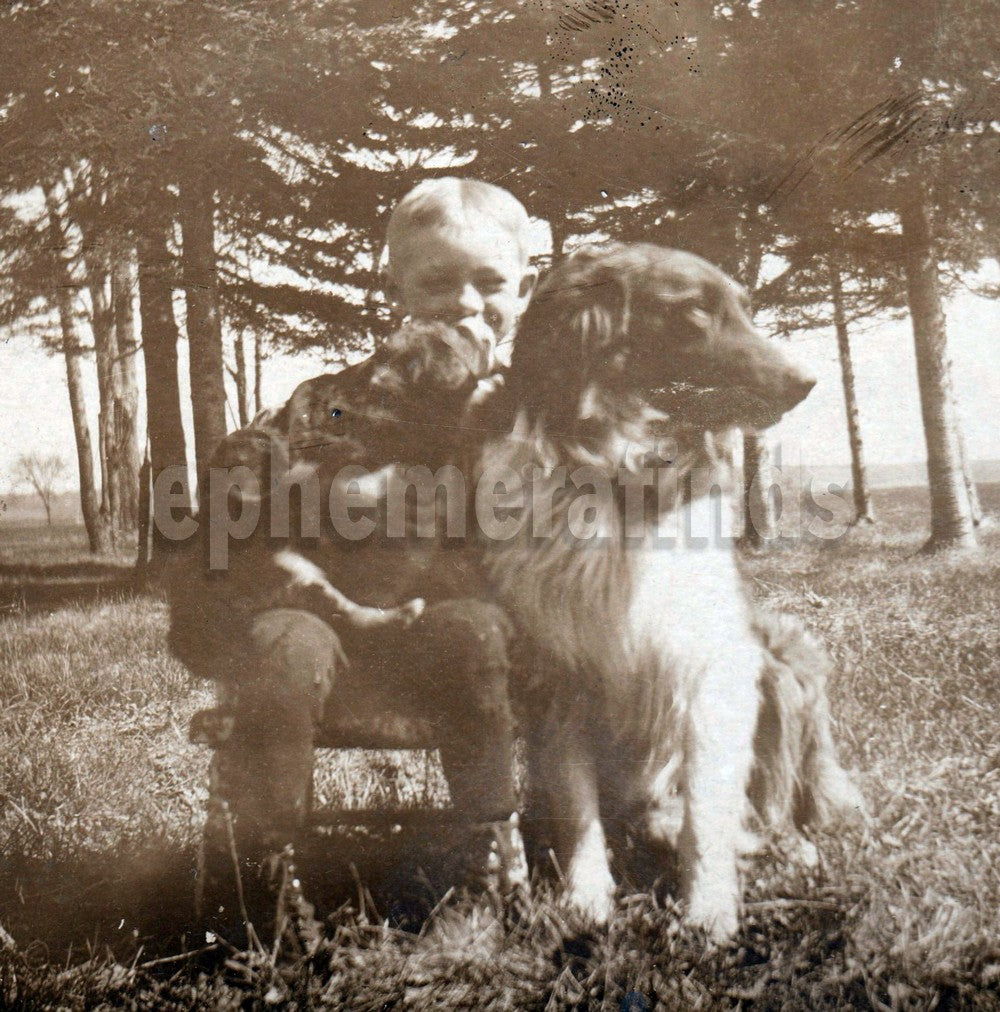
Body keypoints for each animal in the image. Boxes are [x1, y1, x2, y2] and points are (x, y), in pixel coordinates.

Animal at [473, 242, 858, 939]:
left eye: (744, 308)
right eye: (694, 313)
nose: (807, 382)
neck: (618, 477)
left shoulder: (713, 669)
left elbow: (707, 813)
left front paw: (708, 914)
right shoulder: (555, 679)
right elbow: (578, 812)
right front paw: (586, 904)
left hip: (783, 651)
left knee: (779, 808)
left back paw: (787, 852)